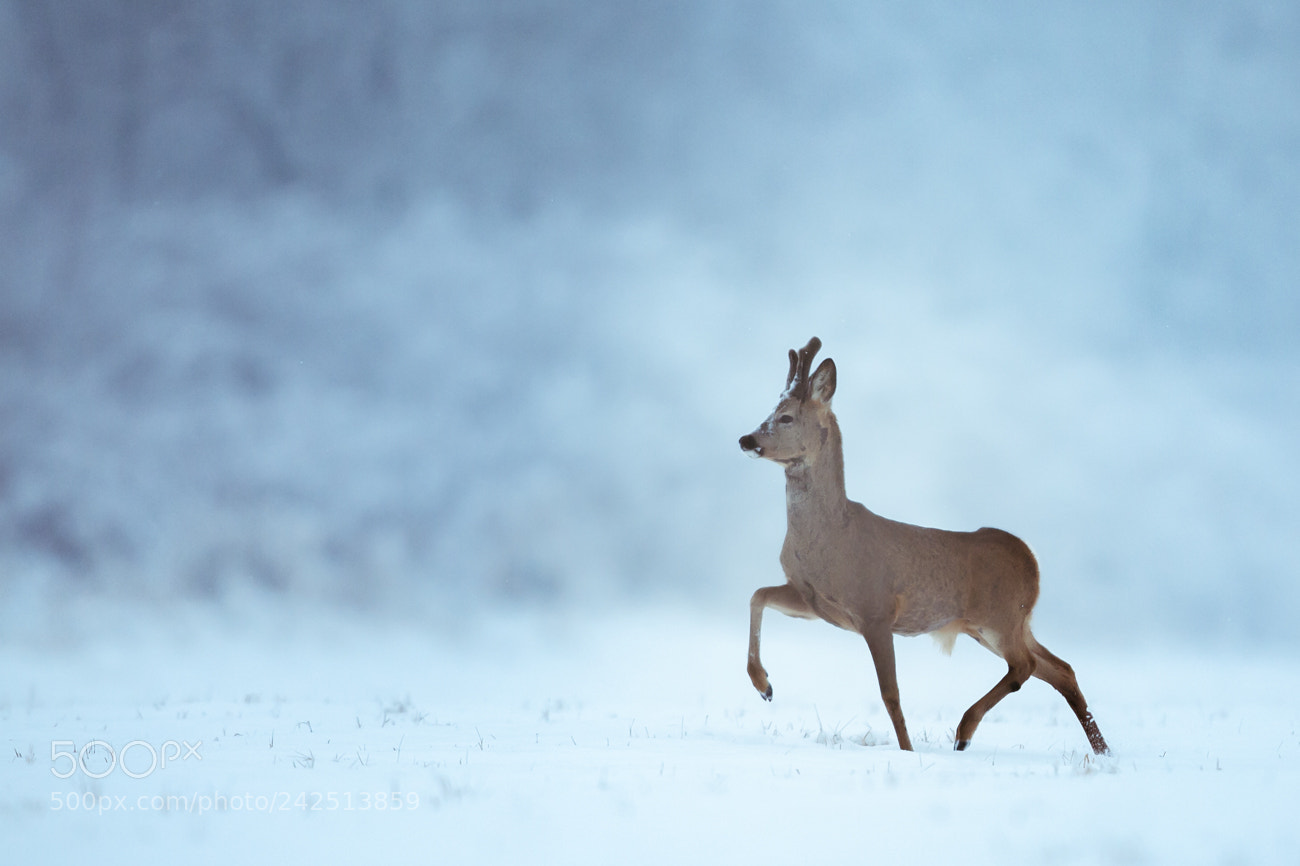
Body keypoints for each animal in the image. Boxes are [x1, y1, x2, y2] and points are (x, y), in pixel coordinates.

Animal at [739, 337, 1110, 755]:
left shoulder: (876, 610)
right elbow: (757, 595)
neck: (831, 537)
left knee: (1025, 667)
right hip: (1000, 625)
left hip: (1000, 618)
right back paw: (1102, 750)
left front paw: (907, 751)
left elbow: (890, 693)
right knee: (1060, 669)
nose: (747, 439)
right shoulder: (813, 602)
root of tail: (1032, 559)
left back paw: (965, 731)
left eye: (786, 417)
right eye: (770, 411)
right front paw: (764, 685)